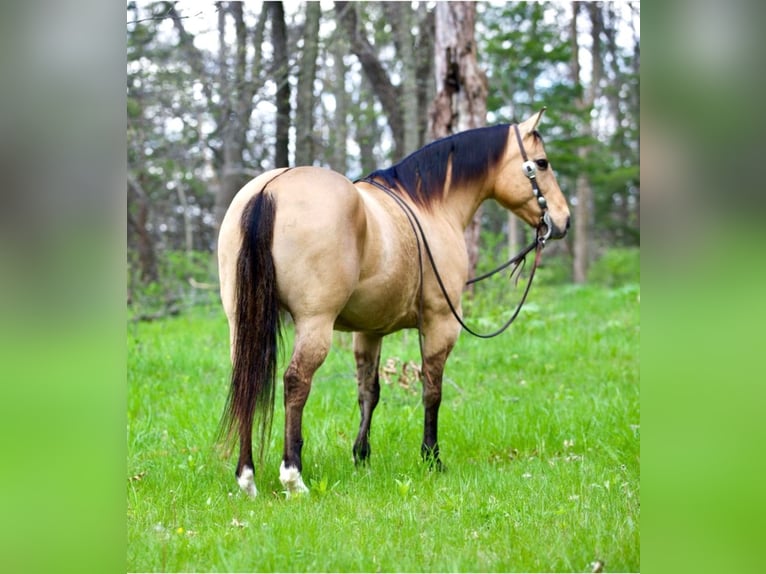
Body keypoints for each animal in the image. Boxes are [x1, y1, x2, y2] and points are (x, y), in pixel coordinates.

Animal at [217, 108, 570, 497]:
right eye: (542, 163)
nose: (563, 220)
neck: (431, 208)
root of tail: (270, 189)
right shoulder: (440, 324)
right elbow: (432, 391)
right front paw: (431, 458)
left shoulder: (369, 331)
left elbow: (368, 392)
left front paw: (361, 456)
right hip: (314, 323)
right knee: (296, 381)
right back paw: (293, 476)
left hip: (243, 322)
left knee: (246, 380)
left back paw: (246, 477)